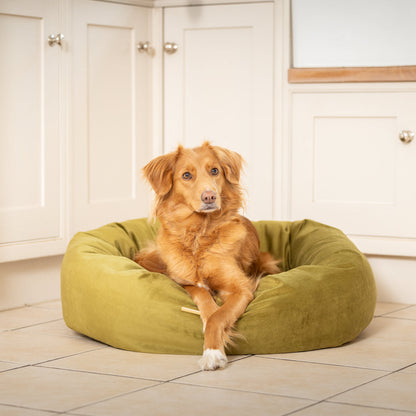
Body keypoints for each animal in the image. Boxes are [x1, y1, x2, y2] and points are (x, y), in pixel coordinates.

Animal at [135, 141, 280, 368]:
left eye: (215, 171)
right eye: (186, 175)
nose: (210, 196)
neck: (199, 235)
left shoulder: (241, 289)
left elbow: (217, 317)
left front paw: (212, 352)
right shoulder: (184, 282)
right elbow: (203, 296)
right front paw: (210, 316)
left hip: (268, 262)